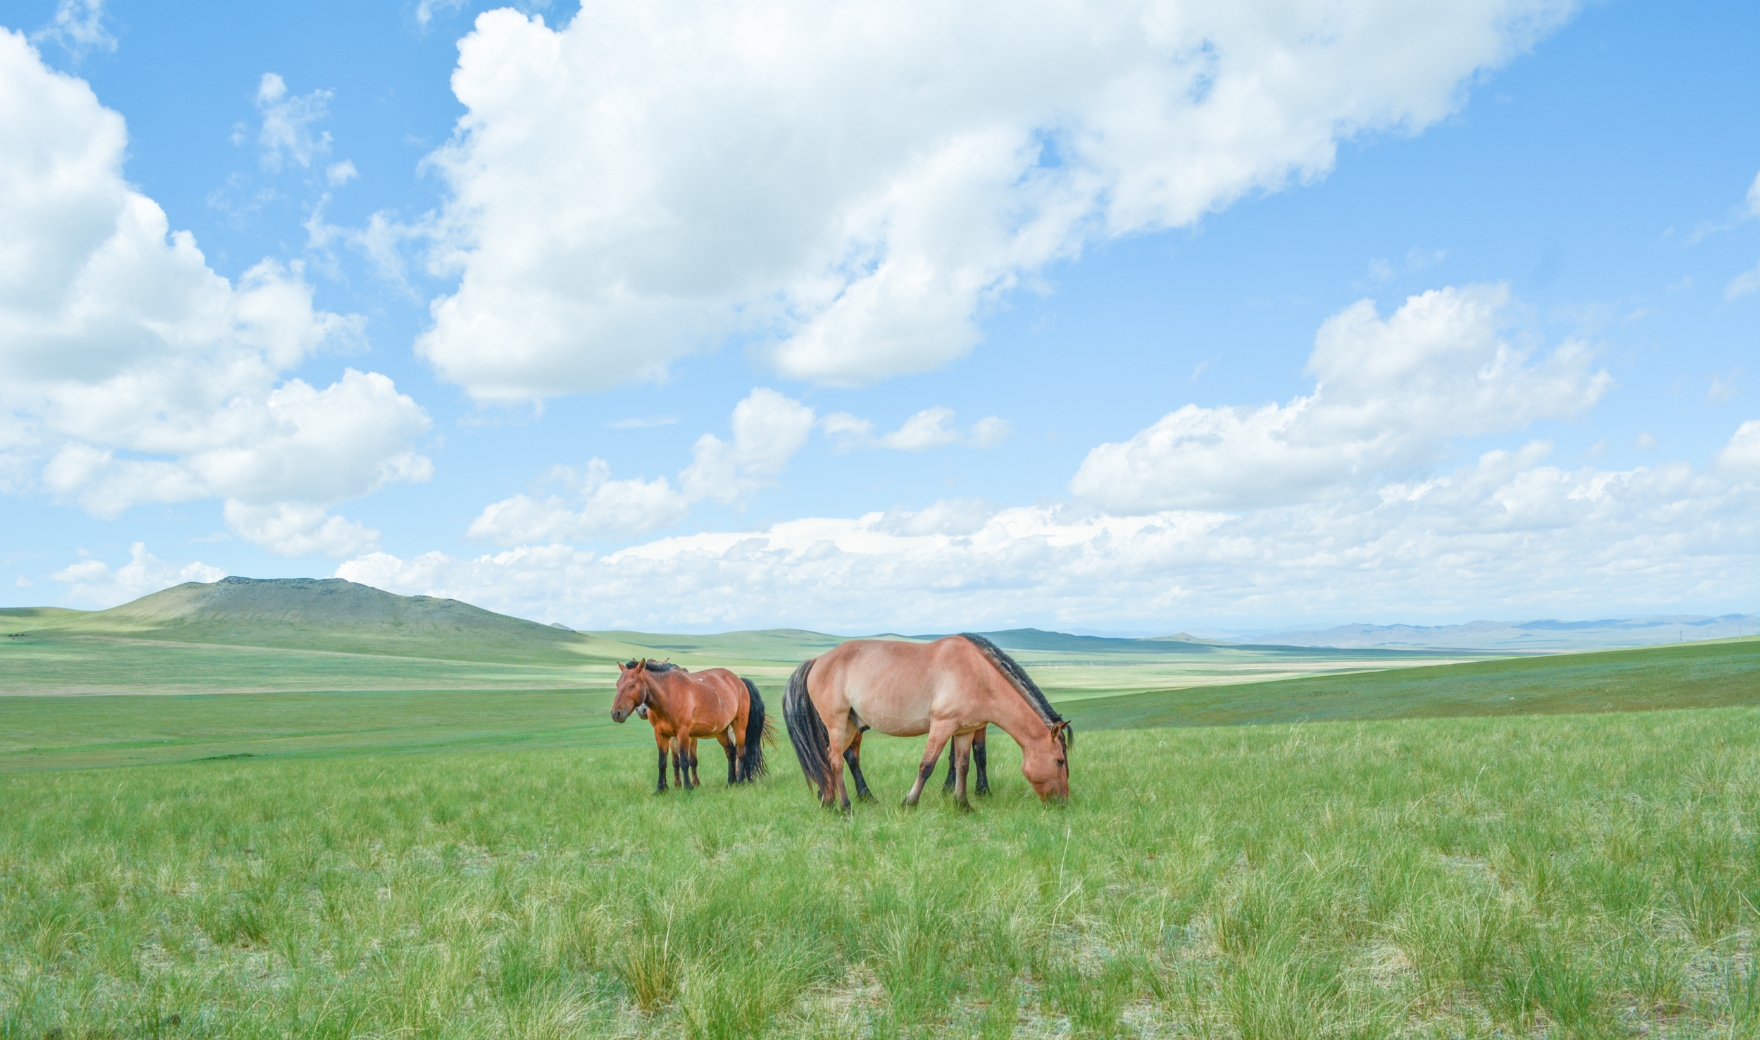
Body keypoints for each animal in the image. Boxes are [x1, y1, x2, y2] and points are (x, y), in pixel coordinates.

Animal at [612, 661, 770, 791]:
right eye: (617, 684)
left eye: (632, 685)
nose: (615, 713)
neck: (668, 694)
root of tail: (739, 681)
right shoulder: (660, 734)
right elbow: (662, 762)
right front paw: (660, 789)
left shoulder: (683, 733)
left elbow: (684, 761)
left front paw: (688, 787)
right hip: (721, 731)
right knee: (730, 752)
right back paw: (731, 782)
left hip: (739, 727)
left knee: (741, 753)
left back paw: (740, 782)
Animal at [788, 633, 1070, 812]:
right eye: (1059, 761)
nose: (1063, 803)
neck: (978, 674)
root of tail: (817, 661)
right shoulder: (942, 725)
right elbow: (927, 765)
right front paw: (910, 802)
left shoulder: (964, 731)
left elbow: (963, 765)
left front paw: (962, 804)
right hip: (836, 723)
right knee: (836, 761)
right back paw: (845, 807)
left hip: (849, 725)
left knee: (831, 758)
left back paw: (829, 802)